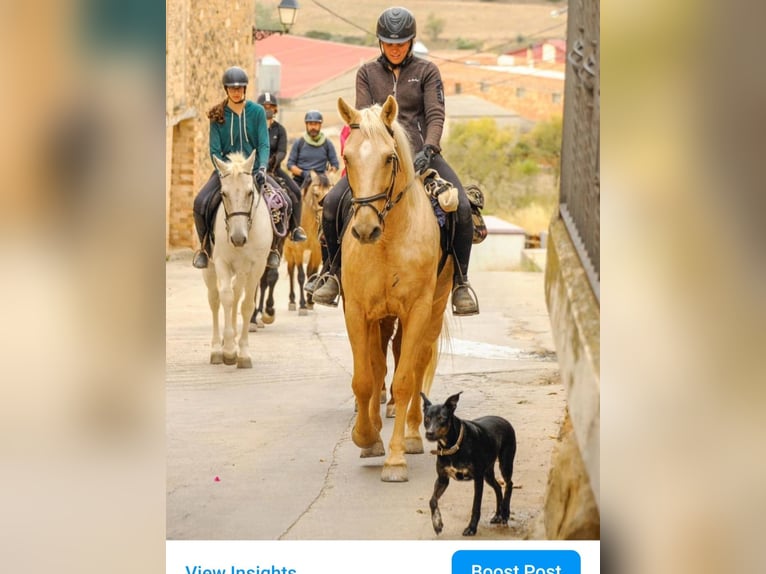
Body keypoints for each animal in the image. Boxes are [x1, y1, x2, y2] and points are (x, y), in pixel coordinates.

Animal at [202, 152, 274, 368]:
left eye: (250, 193)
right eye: (223, 194)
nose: (238, 238)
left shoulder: (256, 267)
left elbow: (247, 305)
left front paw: (242, 353)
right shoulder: (221, 262)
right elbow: (225, 297)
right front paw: (227, 351)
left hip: (242, 272)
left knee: (237, 296)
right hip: (209, 268)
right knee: (215, 300)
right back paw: (217, 348)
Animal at [280, 170, 332, 316]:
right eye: (316, 194)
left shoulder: (317, 250)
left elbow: (311, 273)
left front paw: (310, 301)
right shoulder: (298, 249)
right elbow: (301, 276)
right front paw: (303, 305)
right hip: (288, 250)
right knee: (291, 270)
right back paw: (292, 301)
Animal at [338, 97, 456, 484]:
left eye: (390, 158)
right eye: (347, 157)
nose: (365, 229)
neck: (388, 240)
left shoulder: (417, 309)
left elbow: (405, 380)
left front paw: (395, 459)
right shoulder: (357, 311)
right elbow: (364, 378)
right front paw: (366, 437)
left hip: (433, 308)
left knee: (417, 363)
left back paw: (414, 434)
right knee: (378, 365)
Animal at [424, 394, 520, 536]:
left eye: (442, 418)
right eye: (426, 418)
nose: (429, 433)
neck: (453, 446)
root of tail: (504, 420)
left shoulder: (478, 479)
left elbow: (476, 506)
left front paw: (471, 528)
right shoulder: (442, 479)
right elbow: (432, 501)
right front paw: (437, 523)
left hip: (505, 463)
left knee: (509, 484)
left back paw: (505, 513)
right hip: (488, 472)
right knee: (497, 487)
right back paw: (498, 514)